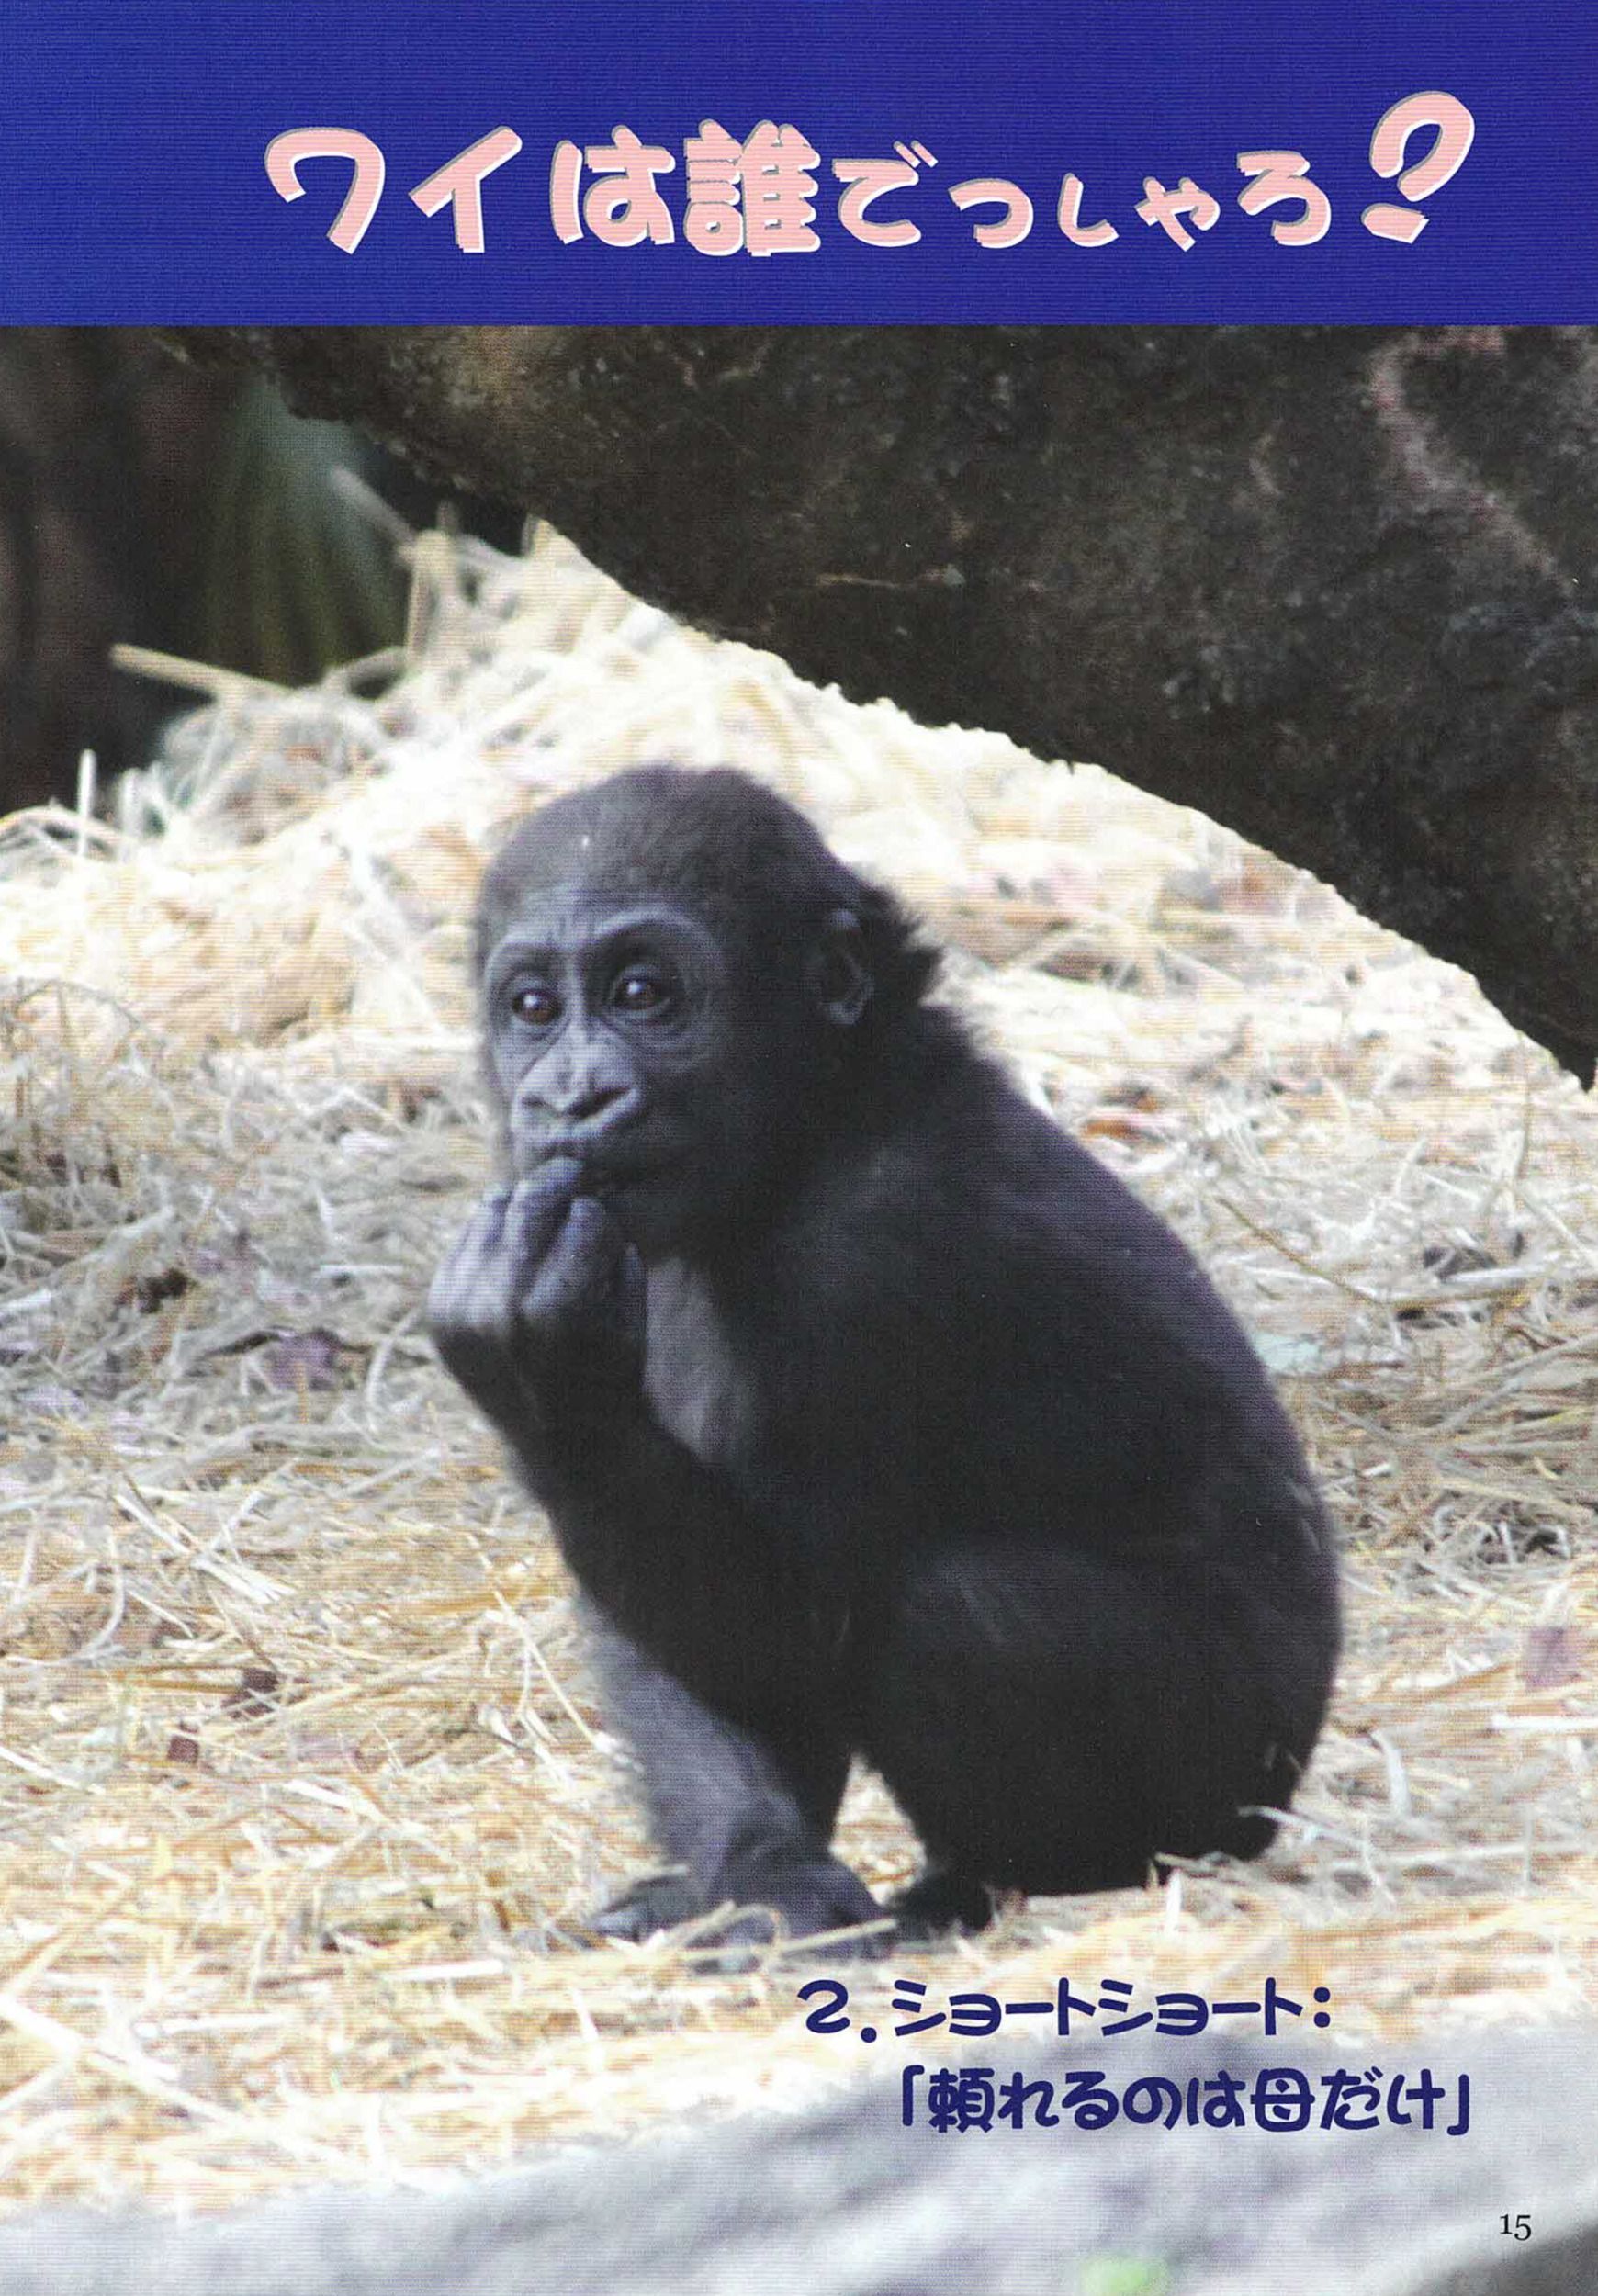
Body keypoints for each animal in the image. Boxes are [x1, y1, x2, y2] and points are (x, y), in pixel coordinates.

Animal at [428, 763, 1339, 1947]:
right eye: (534, 1009)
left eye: (642, 994)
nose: (574, 1095)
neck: (825, 1116)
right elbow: (668, 1627)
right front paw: (757, 1869)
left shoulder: (869, 1261)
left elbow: (787, 1627)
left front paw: (545, 1384)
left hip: (1230, 1781)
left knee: (954, 1610)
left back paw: (1023, 1881)